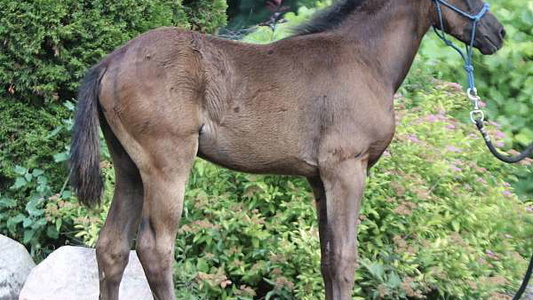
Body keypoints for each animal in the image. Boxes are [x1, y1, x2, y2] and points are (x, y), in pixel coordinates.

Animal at [69, 0, 502, 298]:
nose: (497, 32)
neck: (366, 58)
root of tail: (110, 61)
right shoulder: (347, 168)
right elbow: (346, 258)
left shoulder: (319, 179)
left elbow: (327, 258)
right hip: (167, 163)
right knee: (155, 248)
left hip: (129, 167)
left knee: (111, 247)